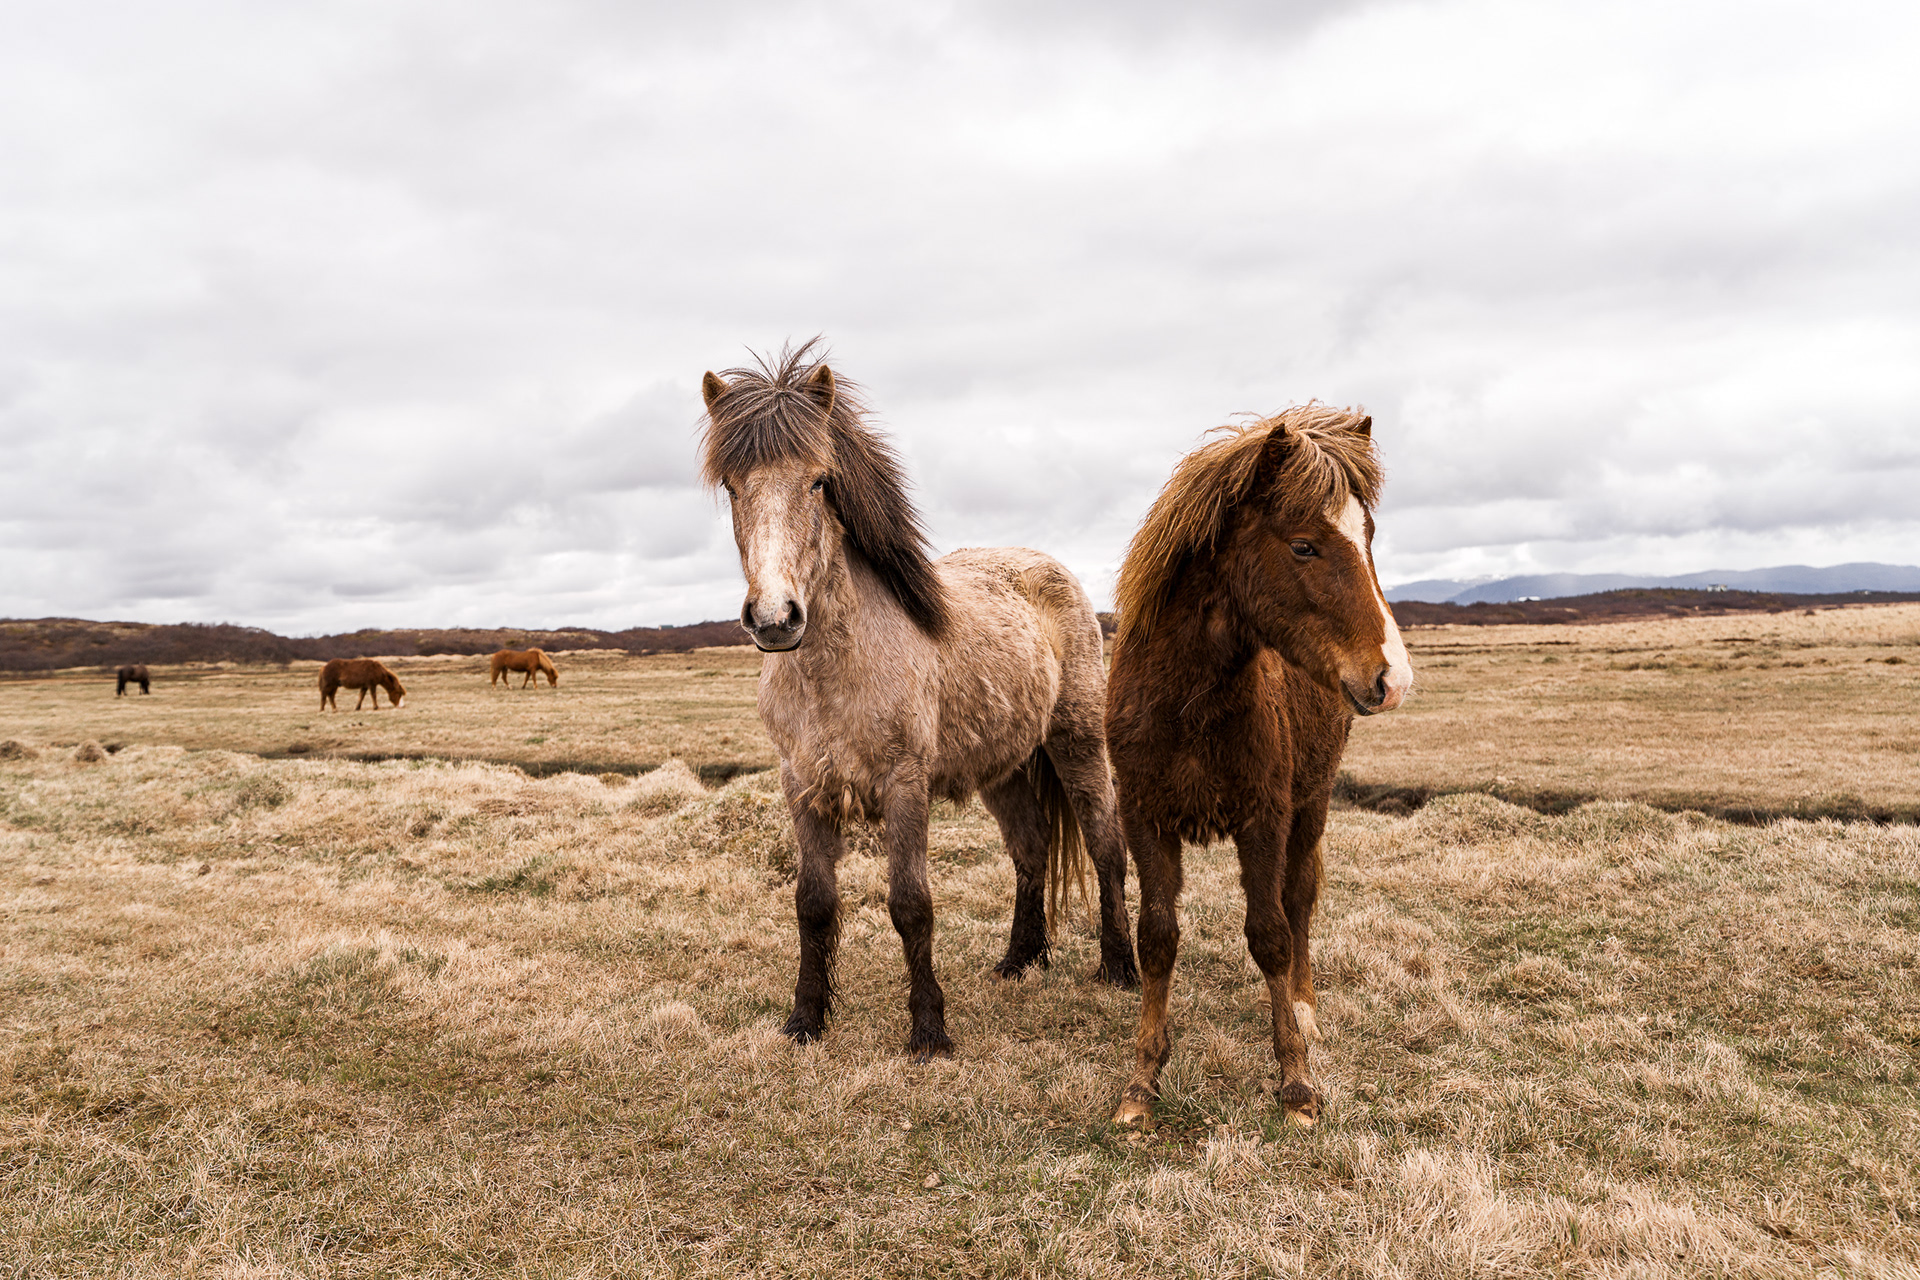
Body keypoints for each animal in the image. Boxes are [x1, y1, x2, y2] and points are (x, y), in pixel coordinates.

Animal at [700, 342, 1137, 1061]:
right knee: (1031, 849)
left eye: (818, 482)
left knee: (1105, 844)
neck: (834, 670)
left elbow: (911, 904)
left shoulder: (904, 784)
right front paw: (805, 1019)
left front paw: (929, 1031)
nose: (775, 619)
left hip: (1076, 743)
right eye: (732, 488)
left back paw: (1120, 967)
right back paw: (1020, 959)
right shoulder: (802, 784)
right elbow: (812, 904)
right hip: (1004, 767)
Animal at [1106, 405, 1412, 1128]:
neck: (1186, 701)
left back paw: (1303, 1007)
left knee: (1298, 901)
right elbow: (1156, 936)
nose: (1394, 679)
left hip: (1312, 805)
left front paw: (1296, 1080)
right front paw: (1142, 1082)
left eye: (1369, 536)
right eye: (1303, 547)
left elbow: (1270, 933)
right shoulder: (1143, 817)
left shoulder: (1264, 818)